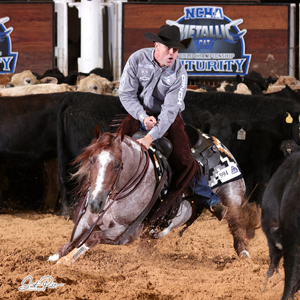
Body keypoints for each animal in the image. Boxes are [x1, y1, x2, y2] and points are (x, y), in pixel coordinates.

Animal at [48, 127, 258, 264]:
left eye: (117, 165)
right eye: (91, 160)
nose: (95, 203)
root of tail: (217, 144)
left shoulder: (126, 233)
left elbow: (92, 239)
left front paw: (66, 260)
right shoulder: (86, 220)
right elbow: (72, 240)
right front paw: (55, 257)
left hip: (232, 196)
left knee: (236, 225)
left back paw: (244, 254)